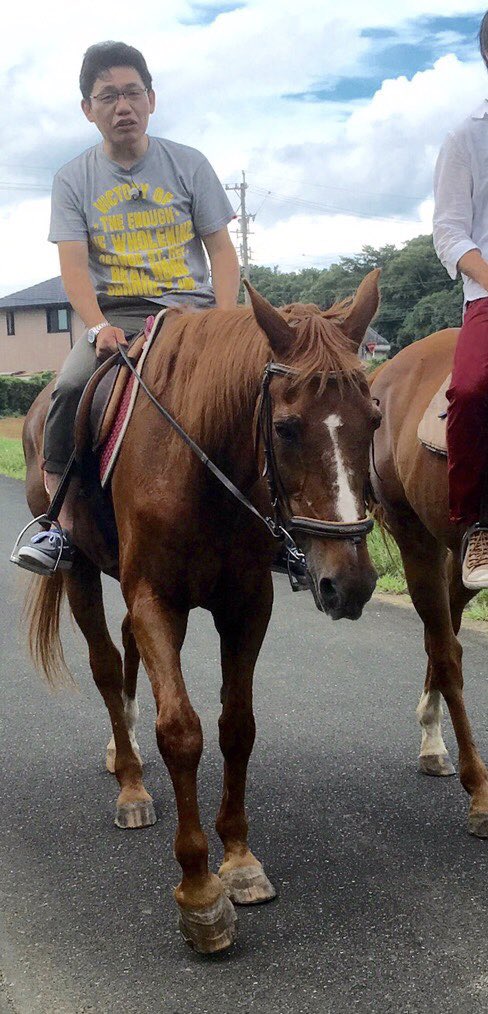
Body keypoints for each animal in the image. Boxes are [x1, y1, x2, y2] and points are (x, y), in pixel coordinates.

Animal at [21, 273, 381, 953]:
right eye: (286, 428)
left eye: (374, 418)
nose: (348, 584)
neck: (202, 464)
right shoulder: (155, 599)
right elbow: (182, 732)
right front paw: (199, 893)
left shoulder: (245, 605)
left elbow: (237, 727)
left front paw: (238, 861)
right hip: (82, 572)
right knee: (106, 665)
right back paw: (131, 781)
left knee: (128, 660)